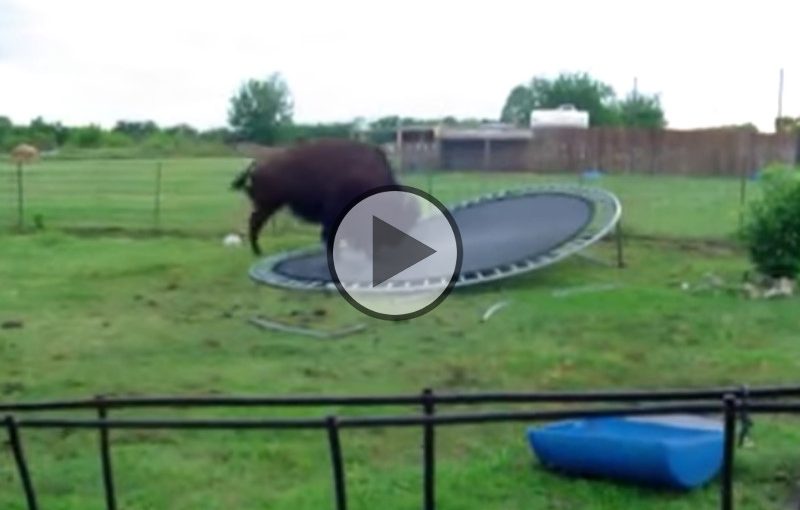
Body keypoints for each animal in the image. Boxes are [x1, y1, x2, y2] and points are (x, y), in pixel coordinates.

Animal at [230, 138, 416, 256]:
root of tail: (257, 165)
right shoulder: (333, 214)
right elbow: (330, 236)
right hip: (267, 205)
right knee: (255, 223)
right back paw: (258, 252)